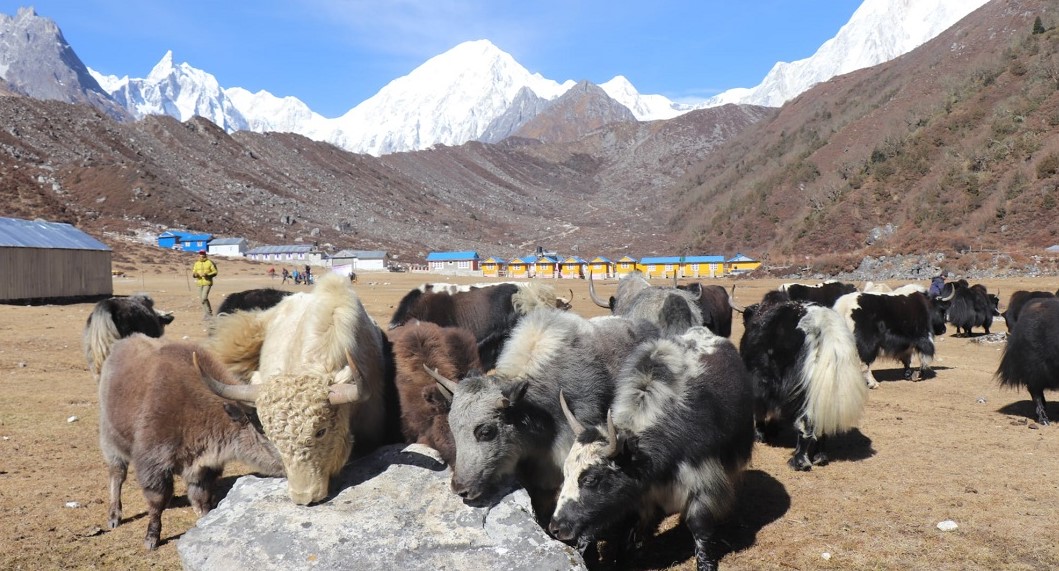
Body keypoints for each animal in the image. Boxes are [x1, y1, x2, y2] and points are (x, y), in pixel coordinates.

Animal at [98, 334, 285, 550]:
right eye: (263, 429)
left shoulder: (203, 469)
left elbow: (200, 499)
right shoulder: (153, 464)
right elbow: (156, 501)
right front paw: (151, 538)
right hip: (110, 442)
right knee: (117, 475)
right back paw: (114, 516)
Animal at [549, 326, 755, 571]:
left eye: (590, 479)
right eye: (565, 473)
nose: (555, 527)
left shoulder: (701, 478)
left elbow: (699, 525)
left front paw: (706, 564)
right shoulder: (638, 493)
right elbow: (628, 529)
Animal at [740, 299, 868, 470]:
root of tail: (824, 327)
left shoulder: (761, 380)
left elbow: (760, 407)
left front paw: (761, 434)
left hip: (802, 388)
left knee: (805, 421)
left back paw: (799, 462)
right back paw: (820, 457)